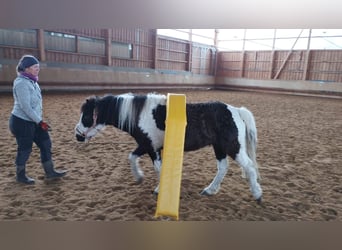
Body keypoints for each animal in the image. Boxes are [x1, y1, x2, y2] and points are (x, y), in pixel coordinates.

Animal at [74, 93, 262, 204]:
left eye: (87, 116)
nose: (77, 135)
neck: (140, 114)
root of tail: (236, 111)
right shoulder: (146, 145)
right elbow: (132, 157)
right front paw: (139, 177)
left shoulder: (151, 148)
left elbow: (158, 168)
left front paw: (158, 190)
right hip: (220, 147)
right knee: (223, 168)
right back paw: (209, 190)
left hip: (232, 147)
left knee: (249, 167)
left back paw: (257, 195)